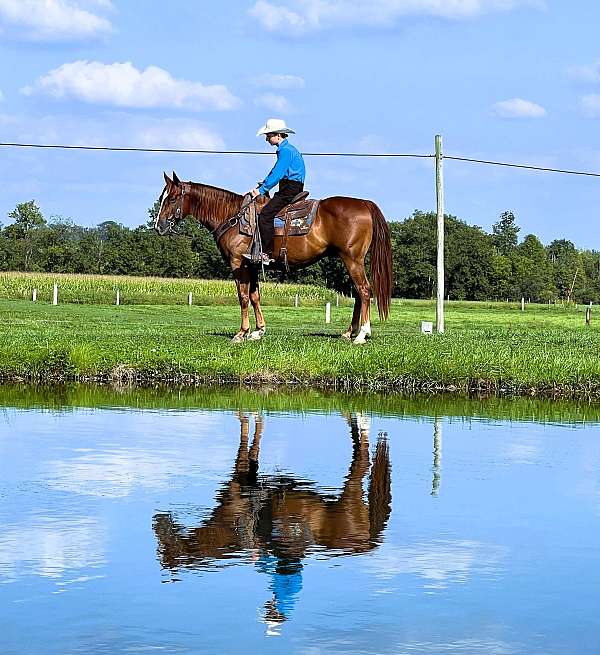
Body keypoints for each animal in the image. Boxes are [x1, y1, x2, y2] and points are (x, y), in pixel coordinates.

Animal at [154, 172, 394, 346]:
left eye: (173, 198)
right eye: (161, 198)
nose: (159, 227)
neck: (232, 217)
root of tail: (364, 203)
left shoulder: (238, 264)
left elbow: (243, 297)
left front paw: (241, 333)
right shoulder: (251, 264)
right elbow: (255, 296)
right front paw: (258, 331)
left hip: (352, 259)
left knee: (364, 290)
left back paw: (362, 334)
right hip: (349, 260)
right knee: (358, 294)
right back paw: (348, 332)